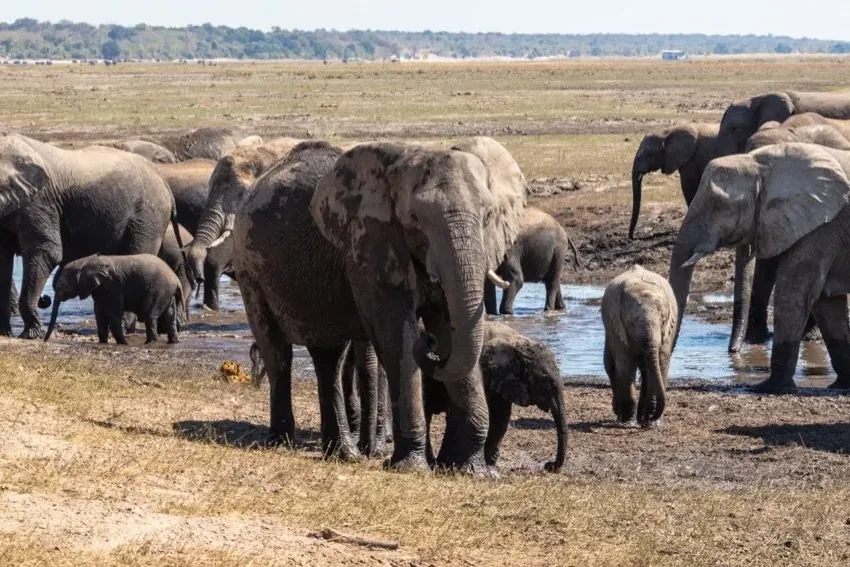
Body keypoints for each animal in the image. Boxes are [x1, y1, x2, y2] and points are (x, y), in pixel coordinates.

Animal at [44, 253, 183, 345]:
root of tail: (176, 279)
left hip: (159, 289)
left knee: (150, 316)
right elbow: (99, 314)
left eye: (63, 286)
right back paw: (173, 342)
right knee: (170, 316)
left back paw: (150, 343)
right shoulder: (99, 288)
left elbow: (113, 314)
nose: (45, 341)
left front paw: (124, 343)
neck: (85, 262)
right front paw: (103, 342)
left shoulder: (111, 285)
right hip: (167, 292)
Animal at [236, 137, 526, 473]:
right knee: (277, 352)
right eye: (415, 221)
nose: (428, 345)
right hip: (249, 270)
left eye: (488, 216)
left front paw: (472, 470)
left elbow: (451, 327)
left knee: (328, 358)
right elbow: (397, 336)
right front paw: (411, 467)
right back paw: (281, 442)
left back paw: (344, 454)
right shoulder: (370, 248)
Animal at [419, 320, 567, 472]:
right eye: (545, 382)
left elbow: (500, 416)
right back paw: (432, 463)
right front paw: (447, 465)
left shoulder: (501, 379)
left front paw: (489, 465)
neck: (514, 340)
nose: (549, 465)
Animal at [601, 265, 677, 427]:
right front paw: (628, 423)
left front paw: (652, 423)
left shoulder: (668, 331)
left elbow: (662, 361)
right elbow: (625, 363)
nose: (652, 418)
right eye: (632, 324)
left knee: (647, 369)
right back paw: (622, 415)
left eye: (663, 321)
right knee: (610, 365)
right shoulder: (618, 328)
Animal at [669, 142, 850, 394]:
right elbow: (827, 303)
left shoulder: (822, 227)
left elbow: (794, 292)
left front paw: (769, 387)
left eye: (718, 205)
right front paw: (842, 385)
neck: (761, 164)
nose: (733, 352)